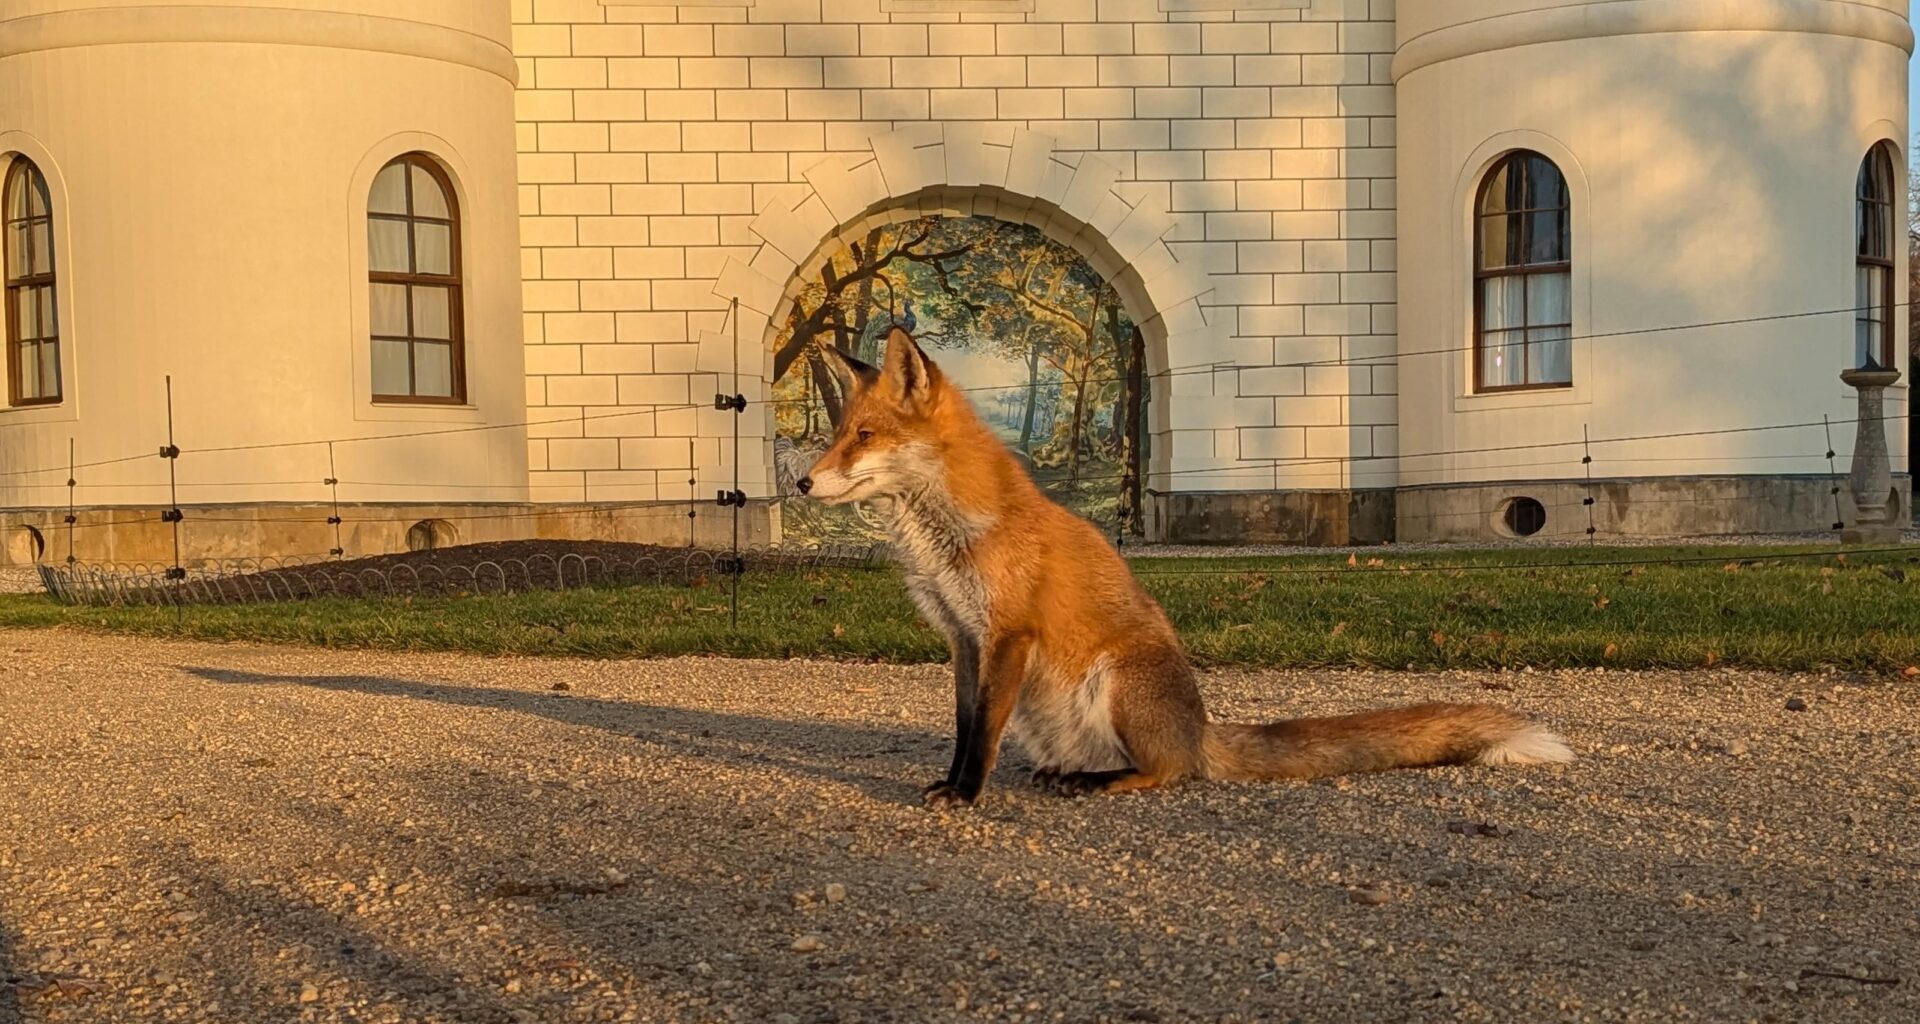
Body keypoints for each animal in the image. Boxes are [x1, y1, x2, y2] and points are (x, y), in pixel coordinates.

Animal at [798, 327, 1573, 807]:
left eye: (864, 436)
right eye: (837, 434)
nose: (803, 483)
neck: (949, 537)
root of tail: (1200, 730)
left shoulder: (1007, 634)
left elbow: (984, 733)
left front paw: (964, 794)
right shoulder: (963, 638)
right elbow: (966, 727)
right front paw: (952, 782)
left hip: (1118, 683)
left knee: (1169, 773)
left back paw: (1107, 782)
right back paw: (1069, 772)